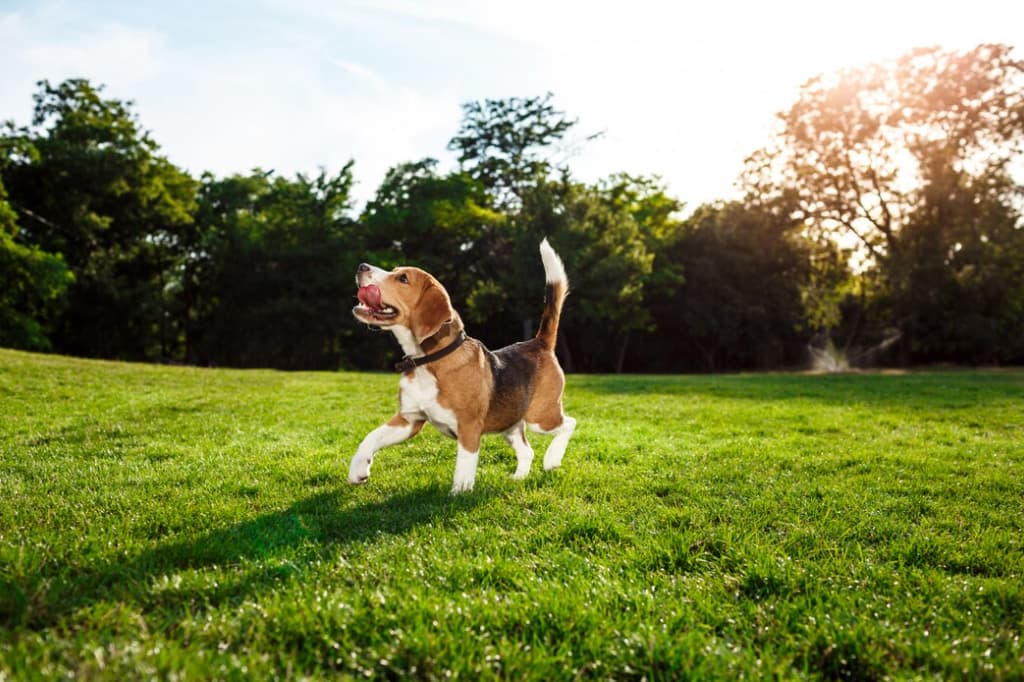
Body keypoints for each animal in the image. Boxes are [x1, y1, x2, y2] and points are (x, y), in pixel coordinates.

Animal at [350, 236, 577, 491]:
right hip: (510, 423)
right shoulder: (409, 420)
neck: (428, 360)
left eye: (403, 278)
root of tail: (538, 343)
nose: (361, 266)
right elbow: (371, 437)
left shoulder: (469, 427)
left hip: (541, 417)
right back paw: (518, 478)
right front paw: (358, 469)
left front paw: (459, 494)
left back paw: (552, 459)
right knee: (527, 451)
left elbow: (463, 467)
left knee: (570, 423)